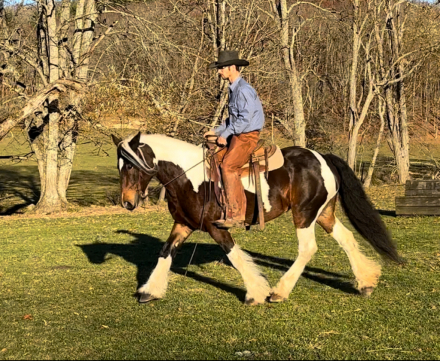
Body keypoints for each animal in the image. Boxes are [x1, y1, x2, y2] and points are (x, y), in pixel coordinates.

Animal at [111, 131, 400, 306]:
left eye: (131, 165)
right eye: (119, 166)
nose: (127, 202)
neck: (189, 178)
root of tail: (322, 158)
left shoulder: (216, 227)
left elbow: (234, 255)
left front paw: (256, 292)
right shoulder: (183, 225)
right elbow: (165, 252)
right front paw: (149, 290)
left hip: (304, 214)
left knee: (308, 248)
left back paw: (279, 292)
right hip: (323, 213)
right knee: (347, 239)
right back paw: (366, 282)